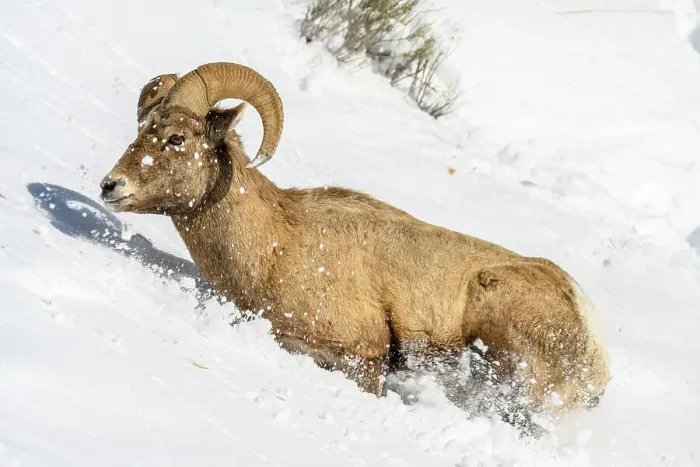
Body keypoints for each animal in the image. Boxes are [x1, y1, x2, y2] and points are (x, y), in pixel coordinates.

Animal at [100, 62, 610, 425]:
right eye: (141, 130)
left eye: (176, 138)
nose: (111, 186)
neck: (276, 247)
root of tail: (590, 340)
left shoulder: (360, 359)